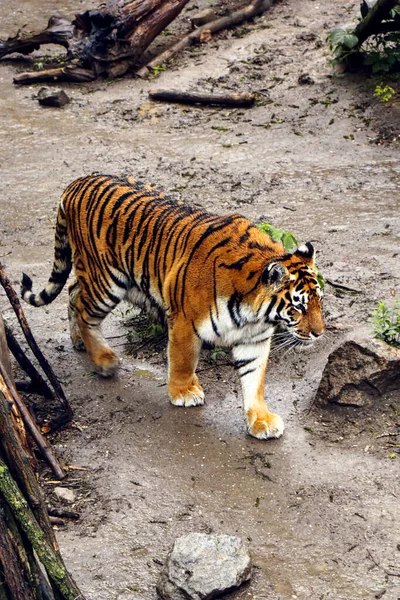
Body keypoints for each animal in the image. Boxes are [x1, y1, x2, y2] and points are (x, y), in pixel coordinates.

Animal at [21, 173, 324, 440]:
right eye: (298, 307)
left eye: (319, 301)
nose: (319, 333)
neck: (254, 314)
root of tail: (77, 182)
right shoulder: (185, 322)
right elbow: (183, 360)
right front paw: (183, 392)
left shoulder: (255, 339)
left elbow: (254, 381)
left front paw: (261, 420)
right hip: (105, 281)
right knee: (85, 310)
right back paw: (103, 360)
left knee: (73, 292)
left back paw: (78, 342)